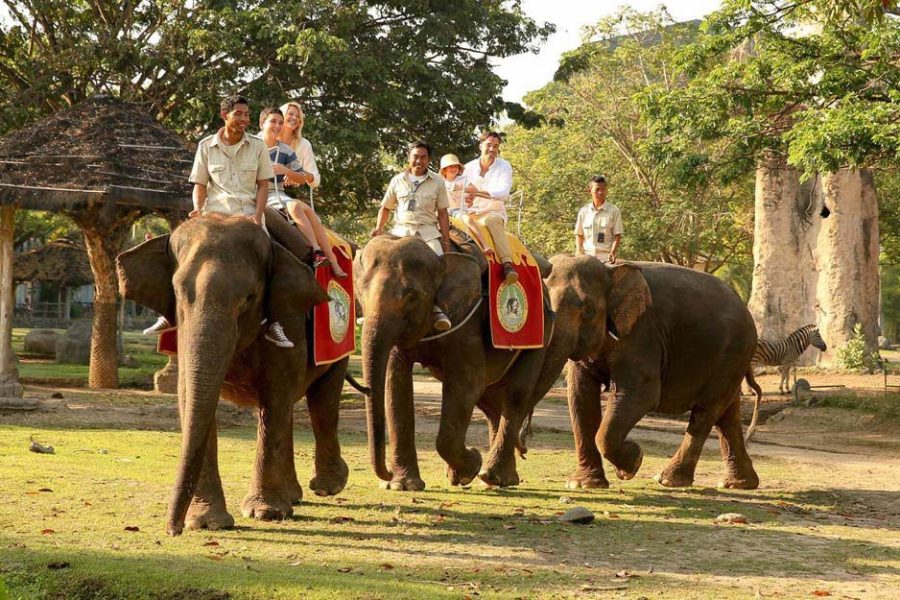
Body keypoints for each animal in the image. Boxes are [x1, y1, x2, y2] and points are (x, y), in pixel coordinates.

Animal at [117, 210, 350, 536]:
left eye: (250, 297)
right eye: (177, 293)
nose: (173, 530)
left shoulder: (289, 319)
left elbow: (275, 395)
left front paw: (265, 513)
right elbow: (190, 394)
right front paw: (207, 522)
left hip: (339, 342)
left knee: (322, 401)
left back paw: (328, 486)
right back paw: (293, 497)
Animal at [355, 234, 554, 490]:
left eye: (412, 296)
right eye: (360, 291)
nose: (386, 473)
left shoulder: (467, 321)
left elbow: (466, 384)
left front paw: (472, 464)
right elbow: (395, 384)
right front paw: (403, 486)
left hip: (540, 332)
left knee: (516, 393)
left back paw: (493, 476)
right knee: (490, 402)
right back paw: (493, 479)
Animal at [530, 255, 760, 490]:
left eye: (588, 311)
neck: (609, 269)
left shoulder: (642, 334)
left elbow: (642, 394)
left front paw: (632, 462)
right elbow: (580, 397)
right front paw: (583, 485)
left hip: (733, 354)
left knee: (706, 411)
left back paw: (668, 480)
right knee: (727, 414)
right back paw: (738, 484)